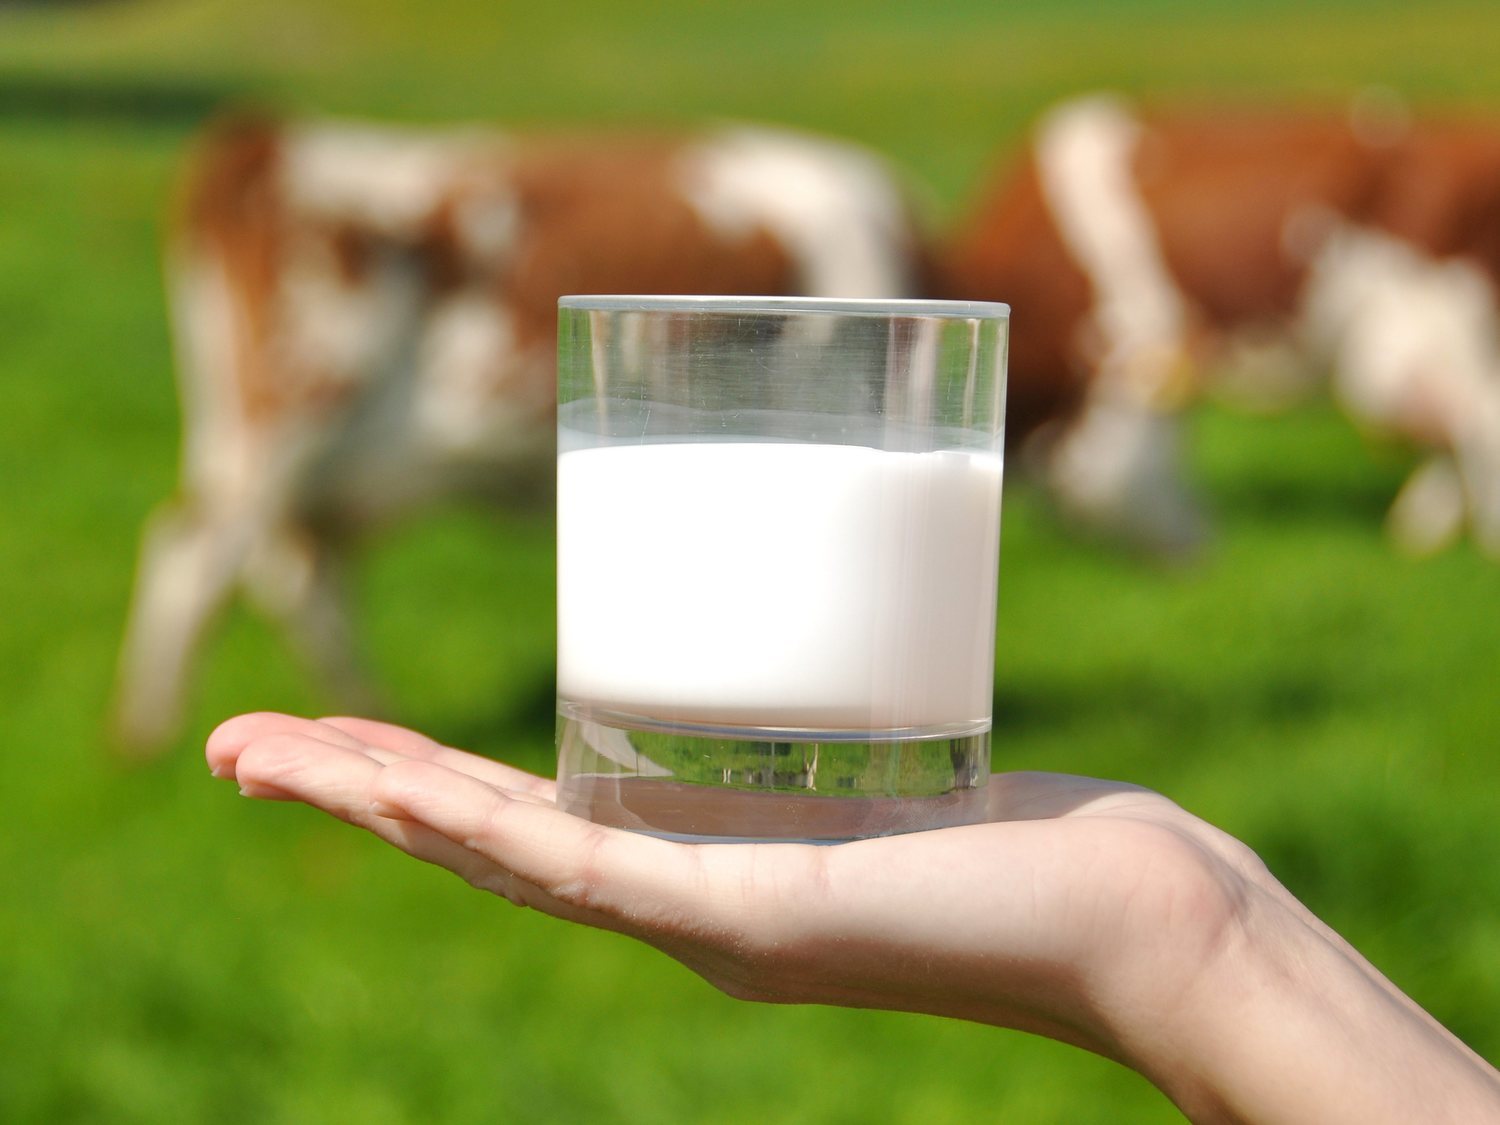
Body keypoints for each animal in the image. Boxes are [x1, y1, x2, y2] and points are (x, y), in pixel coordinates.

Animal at [111, 114, 924, 759]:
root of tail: (268, 139)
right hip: (291, 409)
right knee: (197, 557)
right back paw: (150, 738)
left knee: (296, 572)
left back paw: (362, 709)